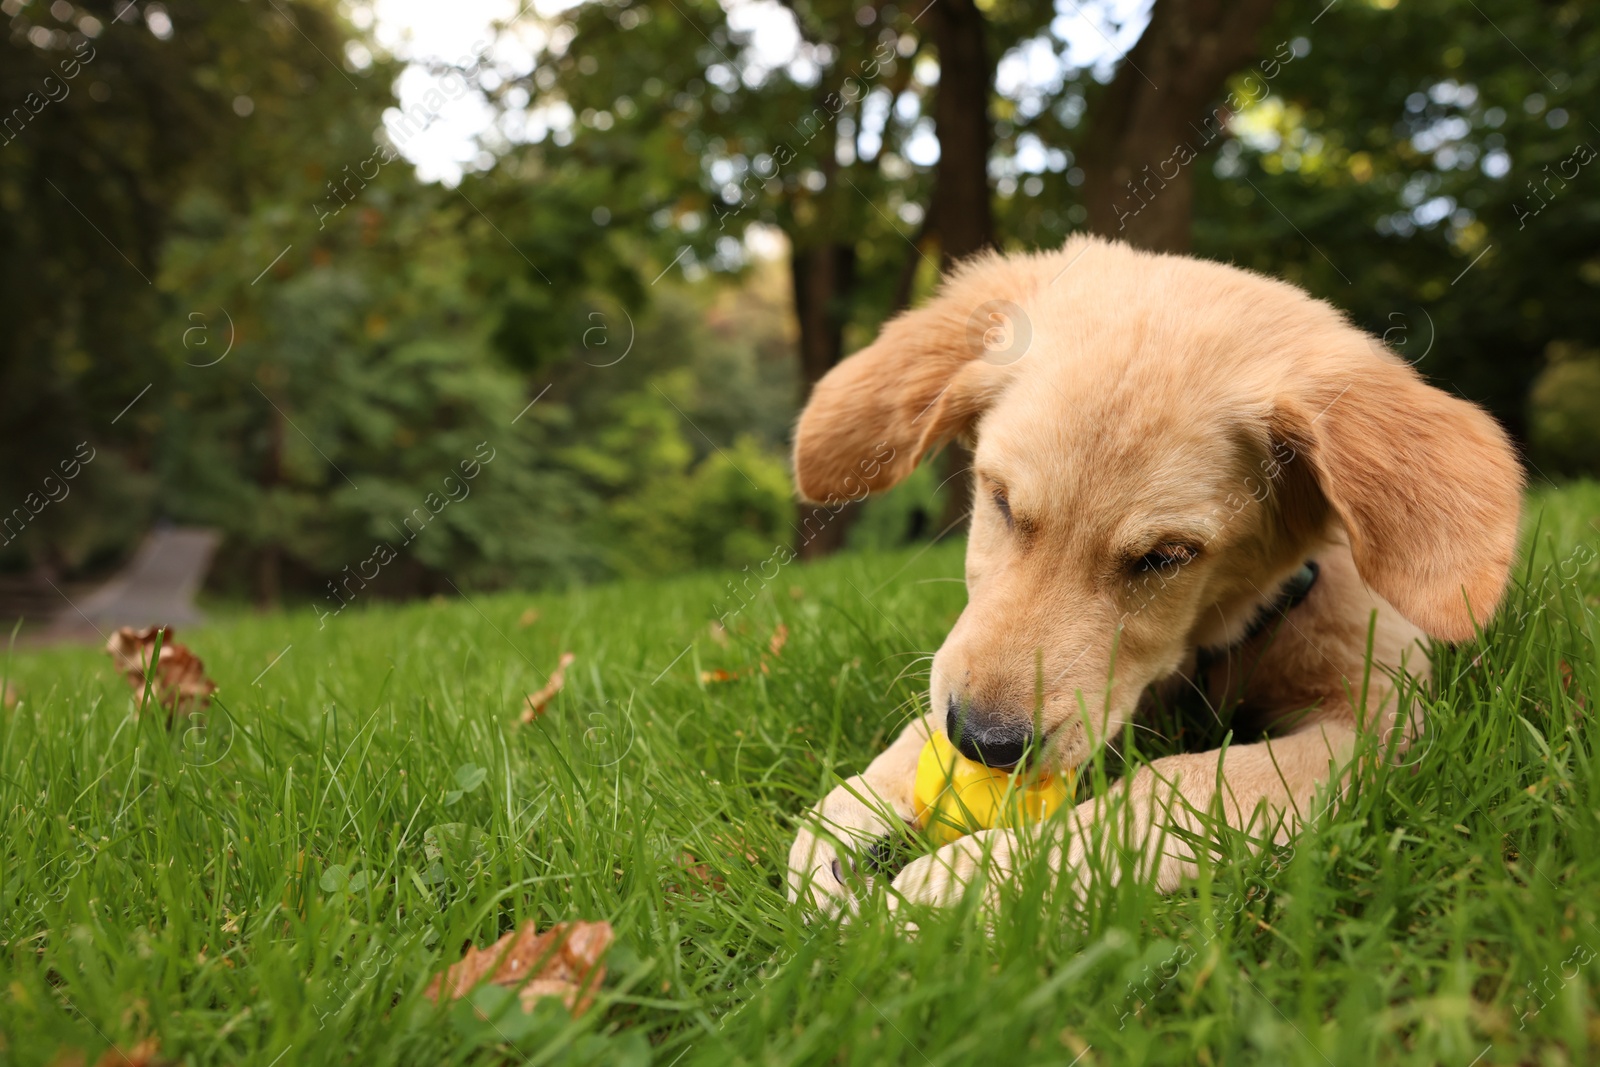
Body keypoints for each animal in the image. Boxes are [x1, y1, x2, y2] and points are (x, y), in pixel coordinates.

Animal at [787, 238, 1523, 915]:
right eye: (999, 499)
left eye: (1167, 556)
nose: (981, 742)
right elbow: (917, 726)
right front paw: (852, 812)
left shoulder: (1376, 721)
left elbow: (1179, 785)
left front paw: (979, 882)